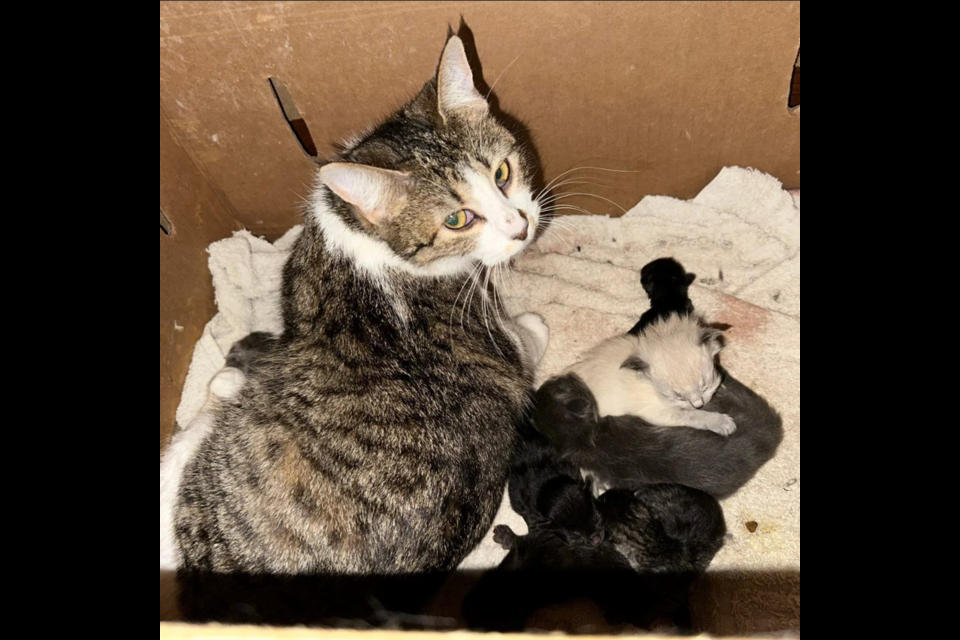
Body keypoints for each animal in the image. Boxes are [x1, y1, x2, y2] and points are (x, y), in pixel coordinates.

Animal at [160, 36, 544, 624]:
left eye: (503, 173)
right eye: (457, 219)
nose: (521, 227)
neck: (364, 237)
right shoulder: (500, 343)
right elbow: (528, 339)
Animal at [564, 316, 736, 436]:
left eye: (705, 385)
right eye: (677, 397)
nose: (699, 404)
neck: (648, 385)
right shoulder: (657, 413)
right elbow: (692, 415)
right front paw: (721, 422)